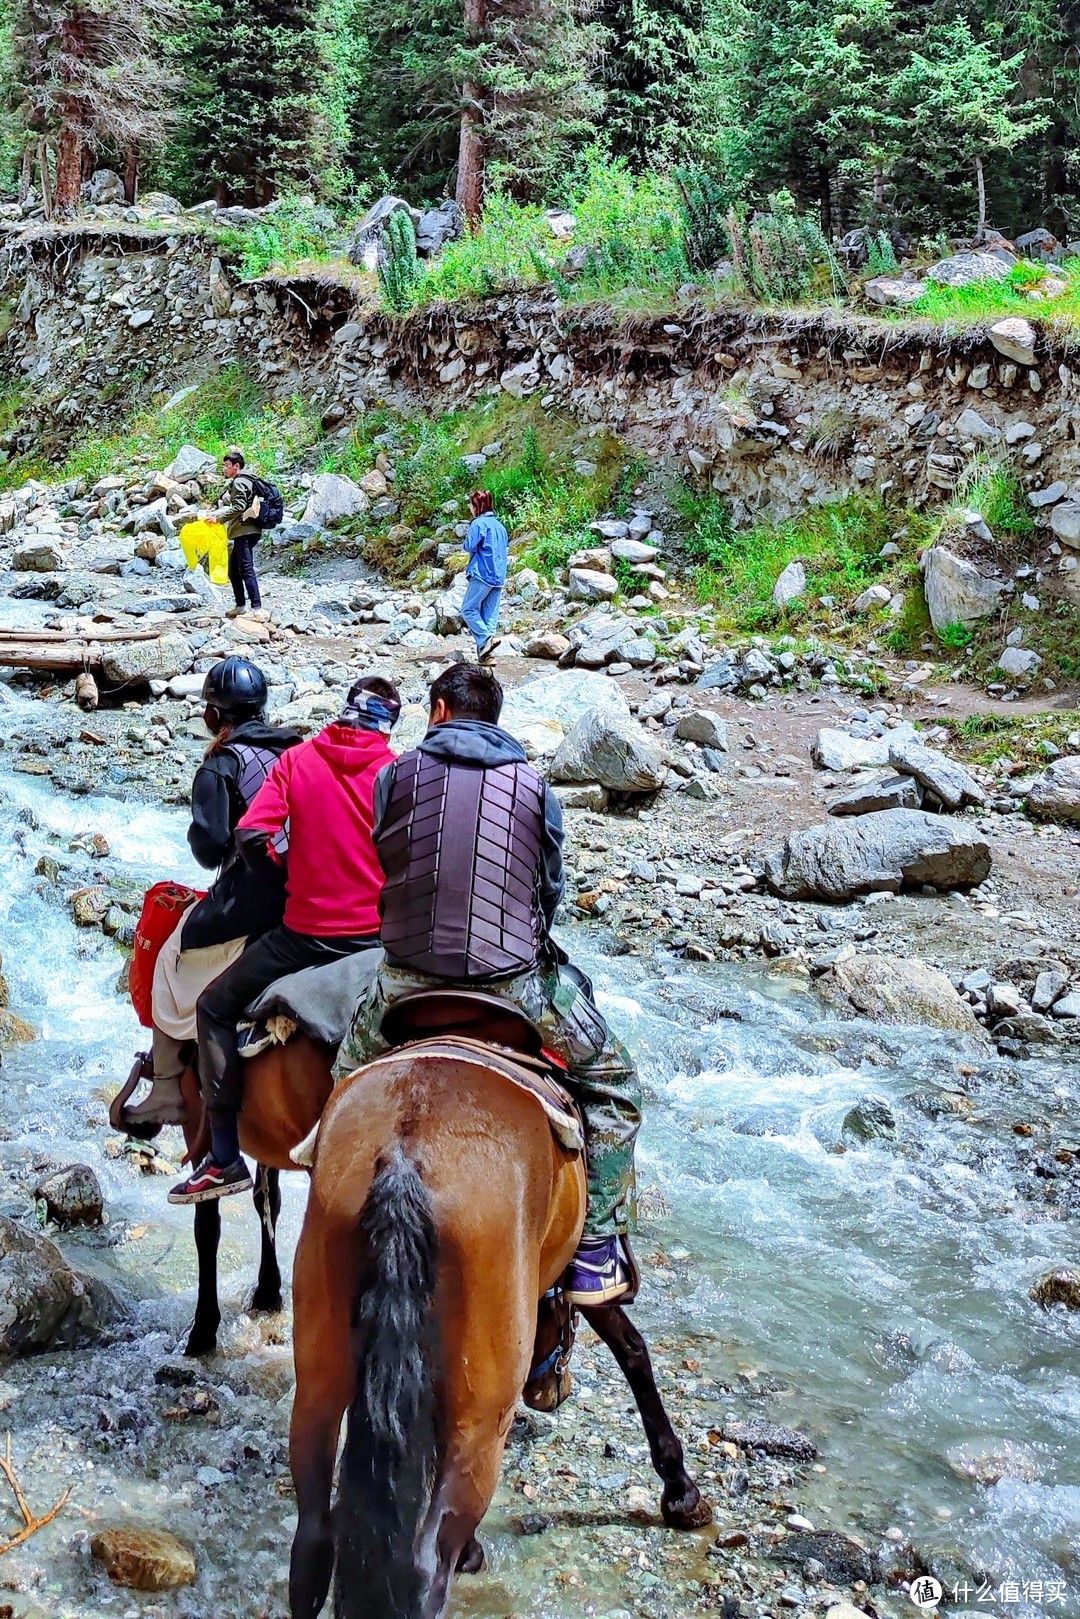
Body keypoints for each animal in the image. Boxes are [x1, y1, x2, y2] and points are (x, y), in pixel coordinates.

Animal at [289, 1042, 709, 1619]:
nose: (553, 1392)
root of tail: (405, 1152)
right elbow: (633, 1350)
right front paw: (681, 1493)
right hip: (483, 1415)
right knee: (428, 1564)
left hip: (319, 1382)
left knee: (312, 1544)